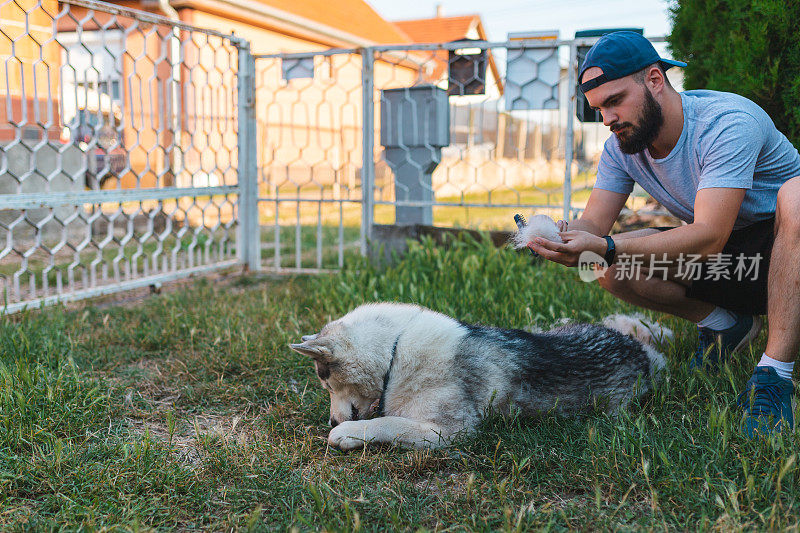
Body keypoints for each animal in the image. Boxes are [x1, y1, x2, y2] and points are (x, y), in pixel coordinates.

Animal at [290, 304, 672, 448]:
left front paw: (345, 433)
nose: (330, 420)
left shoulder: (447, 431)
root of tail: (640, 351)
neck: (395, 352)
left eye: (326, 382)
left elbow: (387, 423)